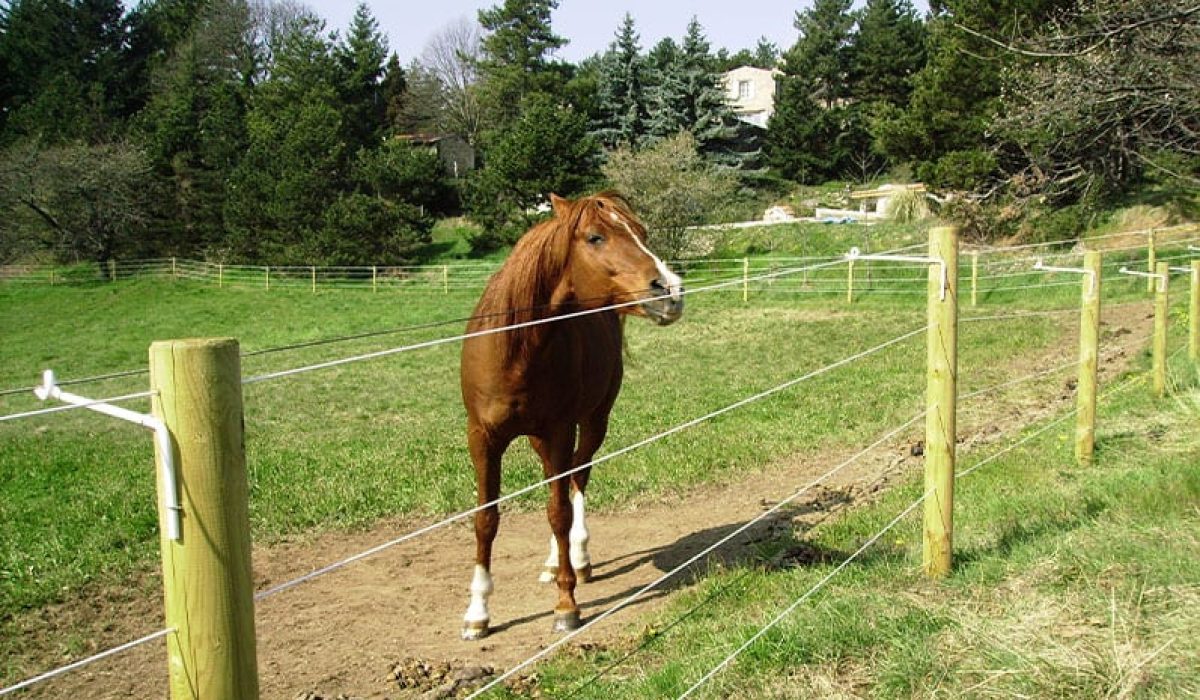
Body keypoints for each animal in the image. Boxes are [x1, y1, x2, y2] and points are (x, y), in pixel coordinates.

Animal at [459, 191, 684, 640]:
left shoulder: (561, 431)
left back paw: (577, 560)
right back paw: (552, 562)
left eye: (641, 231)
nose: (669, 289)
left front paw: (566, 604)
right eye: (596, 236)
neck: (515, 347)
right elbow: (486, 520)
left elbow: (559, 511)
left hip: (594, 421)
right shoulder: (483, 438)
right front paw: (478, 612)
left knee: (577, 478)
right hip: (538, 438)